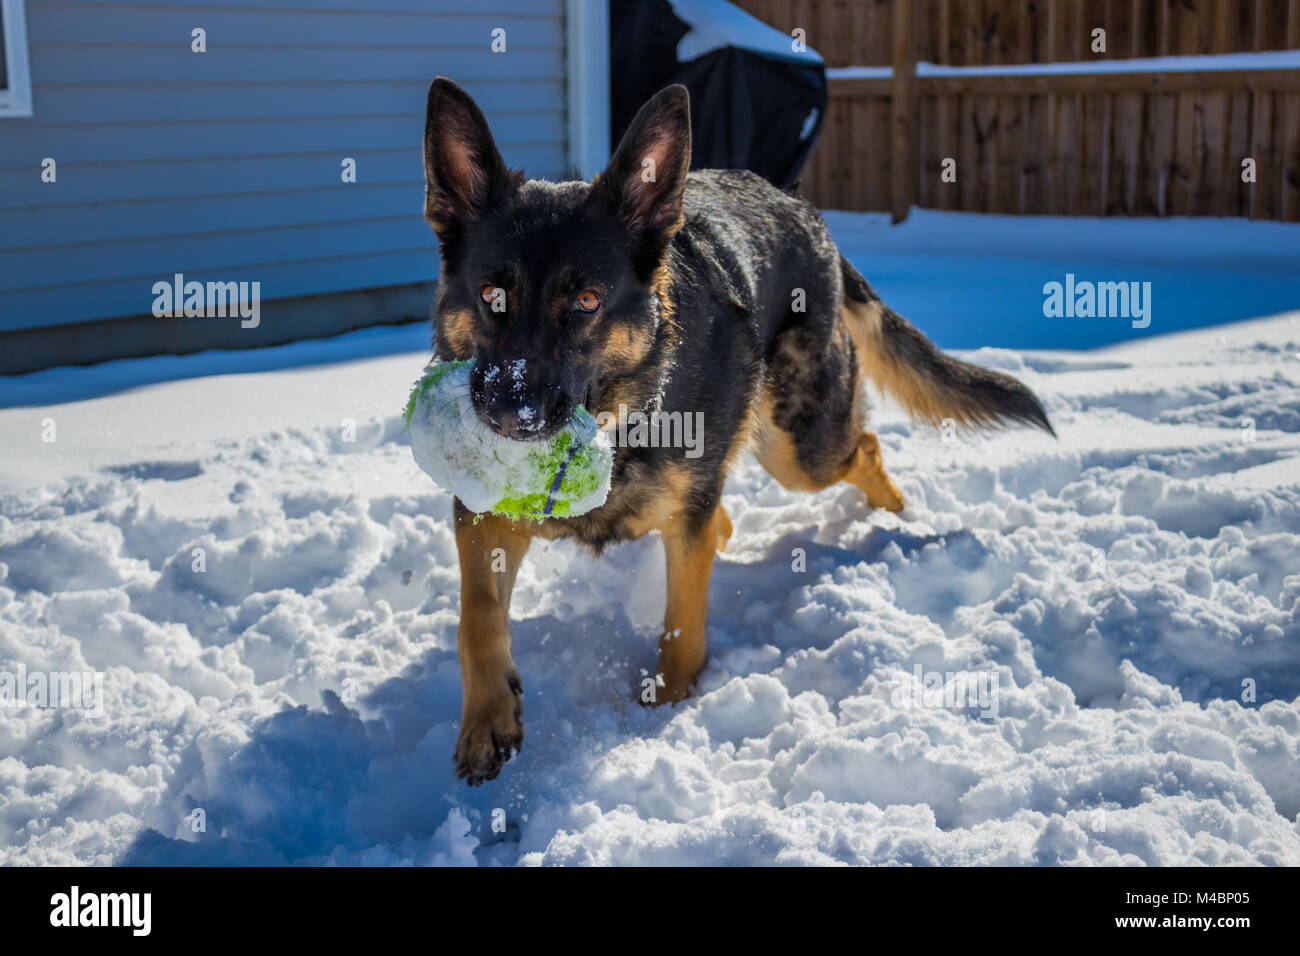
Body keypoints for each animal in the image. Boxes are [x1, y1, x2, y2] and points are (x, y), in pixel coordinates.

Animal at [421, 76, 1050, 785]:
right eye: (492, 296)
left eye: (586, 302)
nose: (510, 413)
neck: (621, 421)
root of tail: (805, 211)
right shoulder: (482, 515)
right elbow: (475, 615)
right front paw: (486, 719)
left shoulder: (687, 517)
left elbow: (683, 624)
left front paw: (667, 712)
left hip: (798, 446)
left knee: (860, 447)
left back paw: (896, 518)